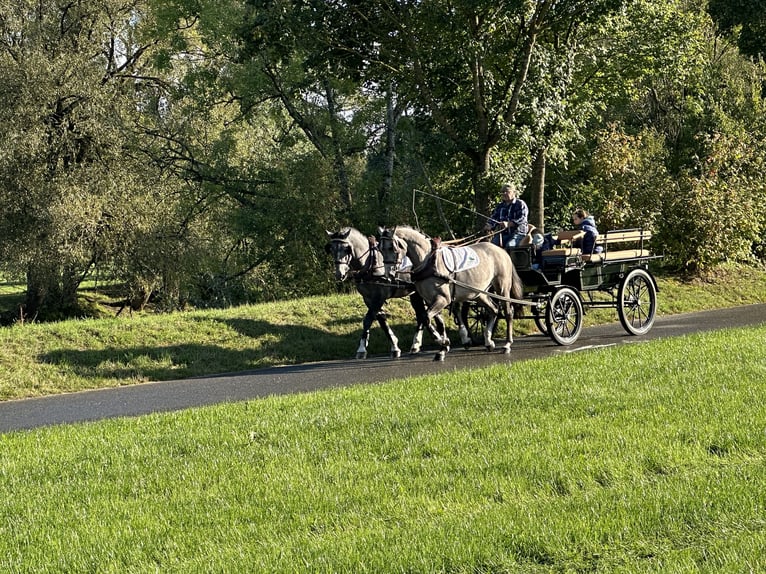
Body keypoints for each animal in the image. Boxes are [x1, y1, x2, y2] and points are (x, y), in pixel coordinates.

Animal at [326, 228, 432, 360]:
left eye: (347, 249)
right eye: (331, 249)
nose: (339, 274)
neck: (370, 263)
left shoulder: (379, 297)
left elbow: (368, 320)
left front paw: (361, 349)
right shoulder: (368, 298)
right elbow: (382, 320)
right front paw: (395, 346)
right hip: (414, 293)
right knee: (421, 313)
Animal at [380, 227, 528, 362]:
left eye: (392, 248)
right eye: (380, 249)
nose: (389, 275)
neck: (428, 262)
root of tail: (501, 250)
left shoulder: (443, 299)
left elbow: (426, 318)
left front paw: (442, 342)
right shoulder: (430, 300)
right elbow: (436, 322)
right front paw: (442, 349)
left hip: (502, 288)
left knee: (508, 313)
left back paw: (507, 344)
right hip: (479, 293)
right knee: (493, 310)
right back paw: (488, 341)